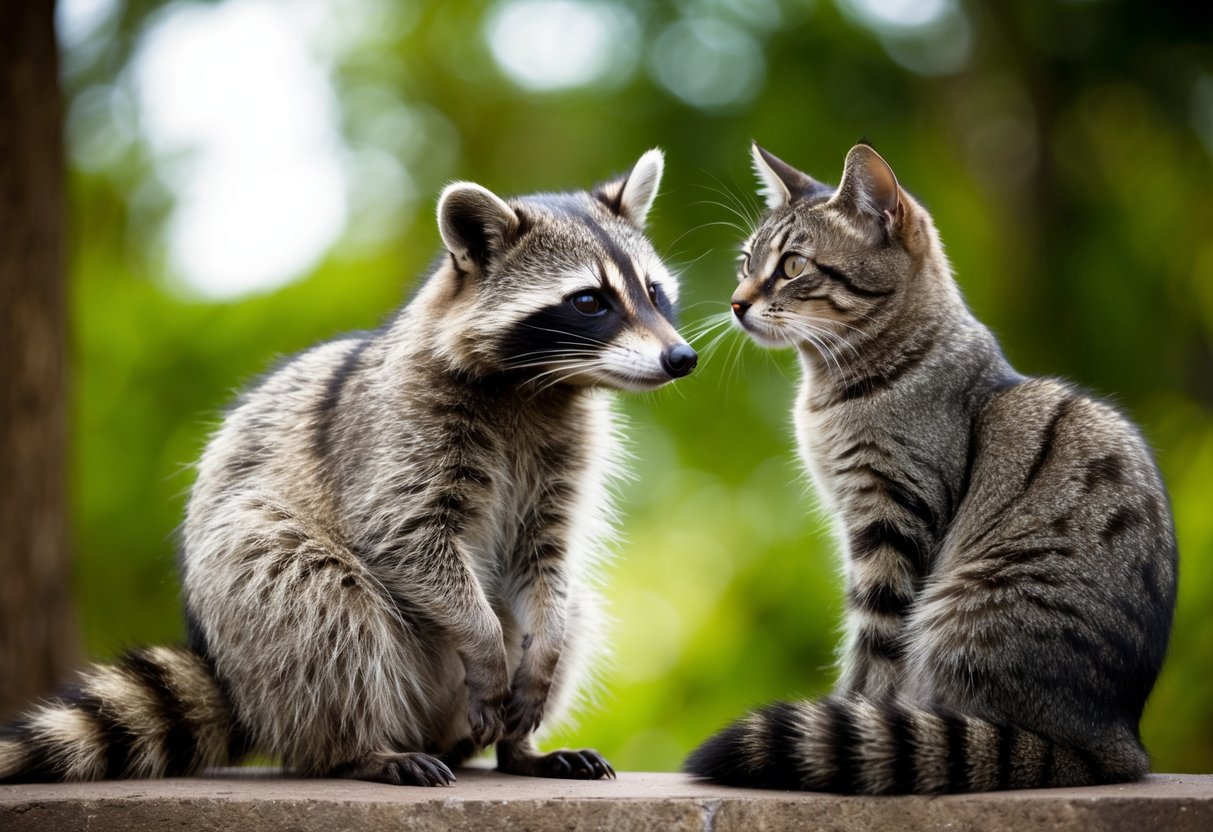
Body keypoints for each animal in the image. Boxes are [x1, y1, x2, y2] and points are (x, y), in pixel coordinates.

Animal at [0, 150, 698, 786]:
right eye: (590, 301)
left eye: (653, 292)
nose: (681, 358)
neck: (536, 388)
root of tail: (241, 691)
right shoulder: (396, 431)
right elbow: (407, 538)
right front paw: (480, 640)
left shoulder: (565, 454)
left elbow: (548, 559)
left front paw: (540, 659)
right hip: (258, 610)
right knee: (316, 600)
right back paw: (358, 748)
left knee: (573, 605)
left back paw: (518, 749)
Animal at [685, 143, 1176, 793]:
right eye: (745, 262)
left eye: (791, 266)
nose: (737, 303)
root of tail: (1116, 743)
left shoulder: (892, 514)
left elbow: (874, 647)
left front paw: (852, 713)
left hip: (967, 610)